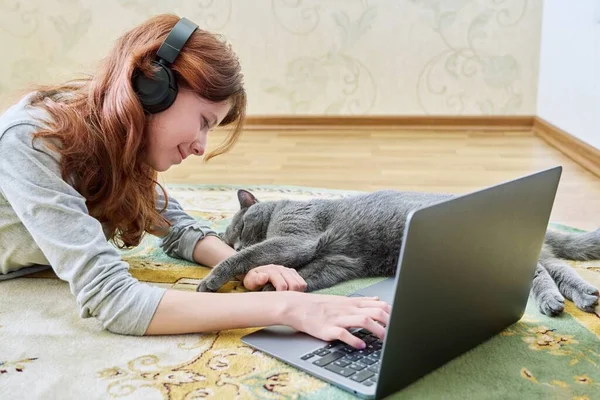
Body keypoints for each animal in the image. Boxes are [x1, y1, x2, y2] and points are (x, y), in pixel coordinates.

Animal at [198, 189, 600, 318]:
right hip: (531, 253)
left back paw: (558, 301)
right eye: (230, 237)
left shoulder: (296, 237)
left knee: (541, 272)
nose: (236, 243)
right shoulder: (337, 263)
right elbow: (308, 275)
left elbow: (259, 255)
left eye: (241, 230)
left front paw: (214, 279)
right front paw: (273, 289)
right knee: (556, 269)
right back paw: (579, 297)